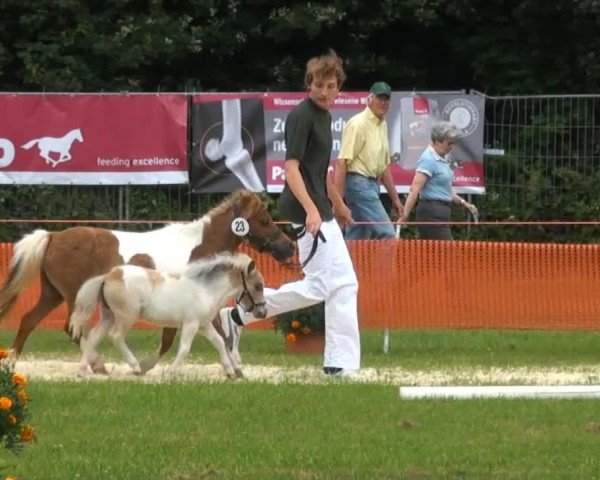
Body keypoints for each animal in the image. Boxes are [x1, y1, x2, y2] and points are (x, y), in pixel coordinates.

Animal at [0, 189, 296, 374]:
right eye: (264, 219)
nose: (289, 247)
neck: (198, 248)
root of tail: (52, 236)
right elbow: (174, 340)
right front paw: (144, 366)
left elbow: (215, 336)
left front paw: (233, 367)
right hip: (73, 295)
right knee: (71, 328)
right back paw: (98, 365)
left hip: (53, 294)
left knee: (28, 320)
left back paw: (13, 363)